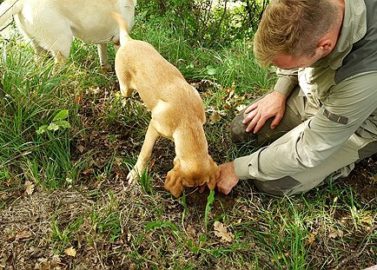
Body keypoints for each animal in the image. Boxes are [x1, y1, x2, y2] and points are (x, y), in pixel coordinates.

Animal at [0, 0, 136, 69]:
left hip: (37, 48)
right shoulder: (120, 41)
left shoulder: (103, 40)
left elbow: (103, 59)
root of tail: (22, 2)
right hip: (62, 46)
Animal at [111, 12, 217, 197]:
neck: (188, 120)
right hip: (125, 86)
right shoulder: (154, 127)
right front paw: (136, 173)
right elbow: (145, 152)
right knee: (125, 96)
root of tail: (129, 41)